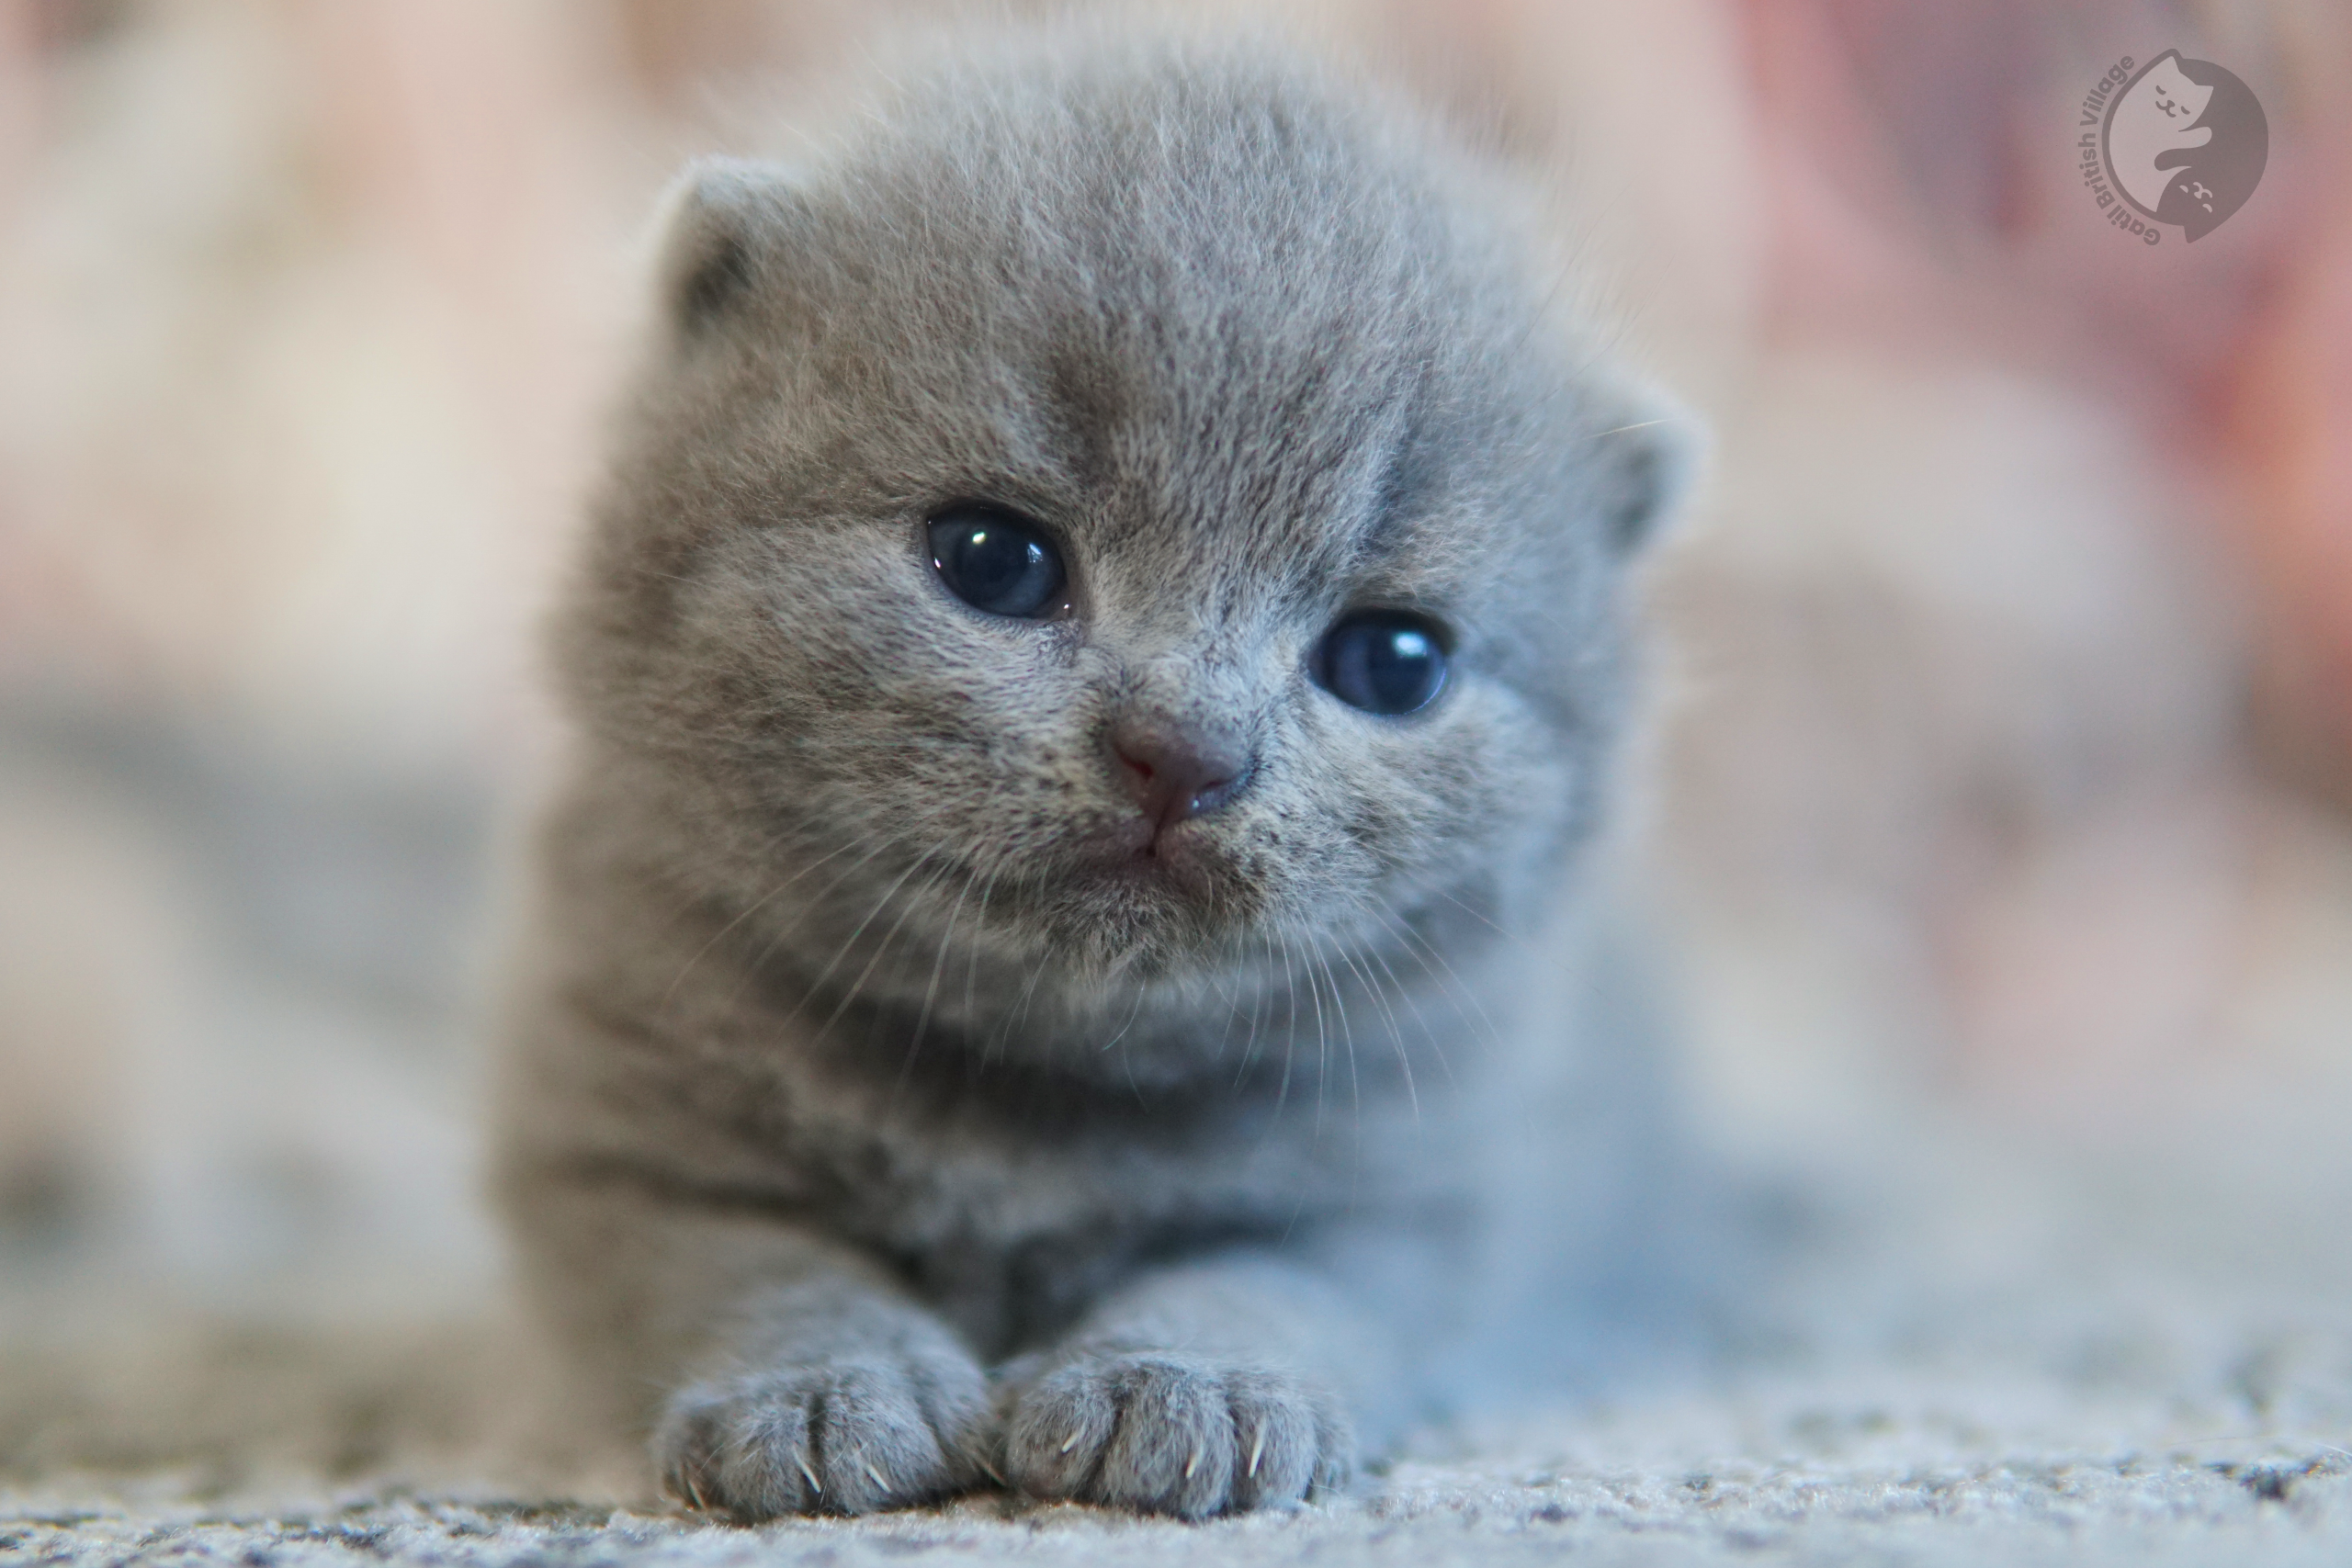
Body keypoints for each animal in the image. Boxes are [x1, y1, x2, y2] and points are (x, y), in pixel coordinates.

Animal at [492, 21, 1693, 1523]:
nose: (1185, 750)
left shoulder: (1419, 1187)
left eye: (1393, 661)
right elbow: (744, 1266)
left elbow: (1263, 1278)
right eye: (993, 560)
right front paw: (822, 1392)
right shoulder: (612, 1135)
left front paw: (1178, 1387)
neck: (1031, 1091)